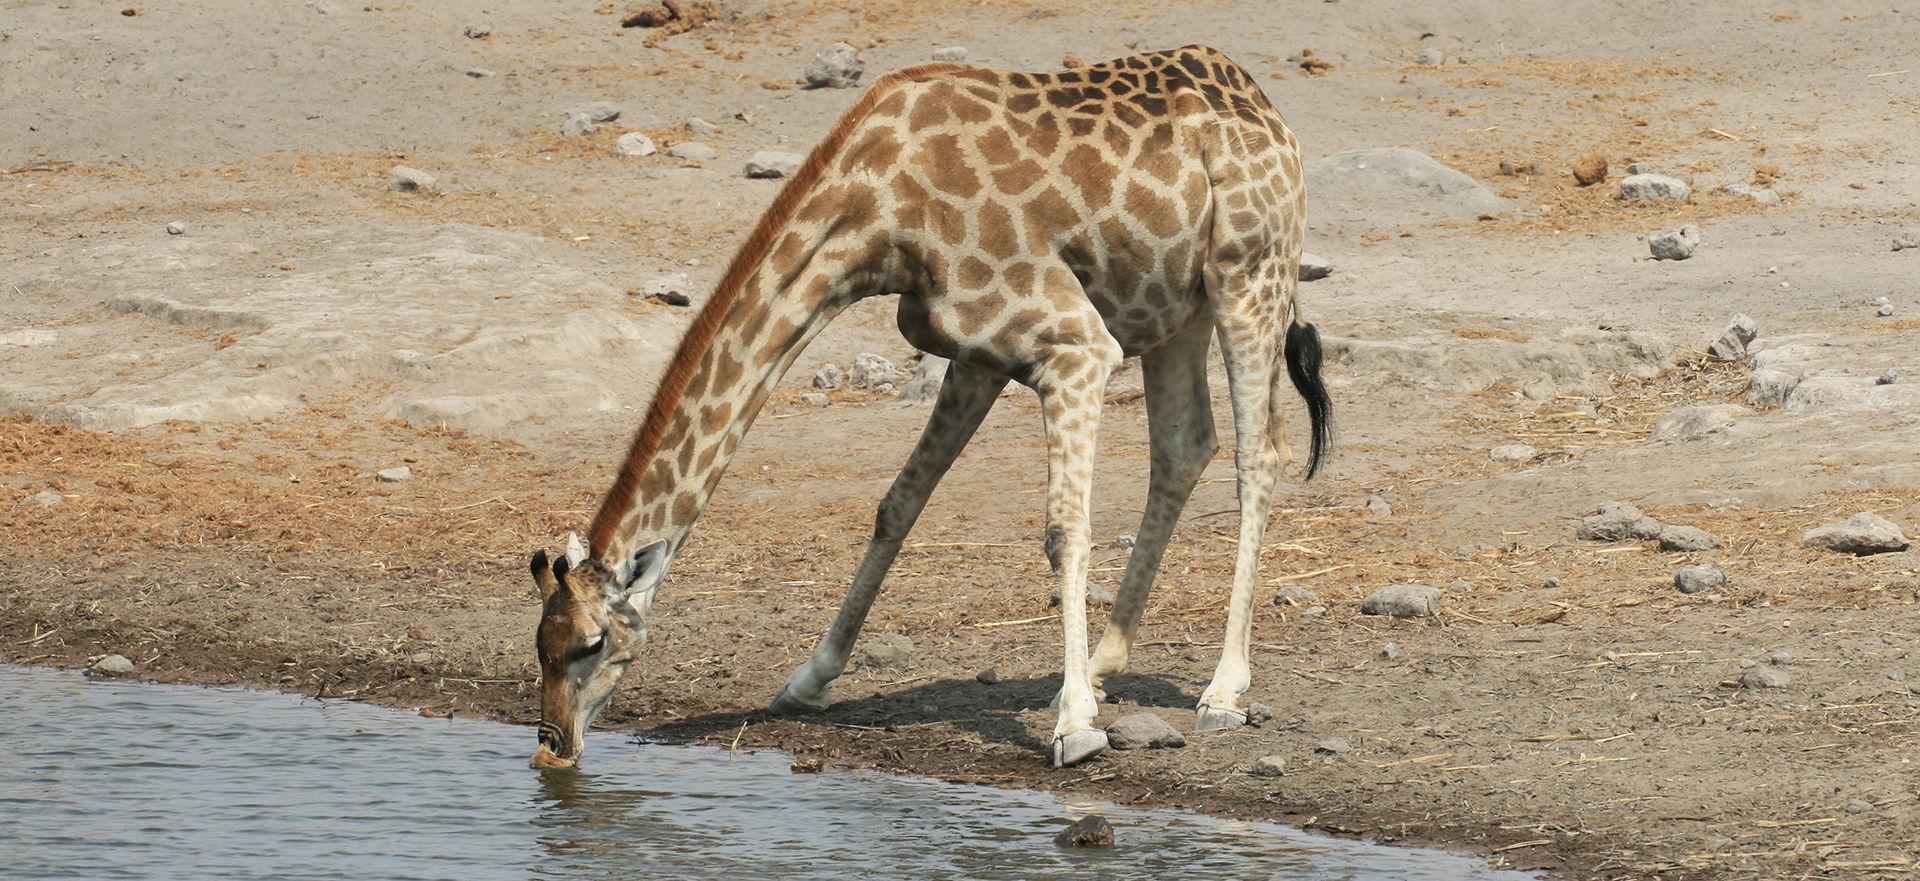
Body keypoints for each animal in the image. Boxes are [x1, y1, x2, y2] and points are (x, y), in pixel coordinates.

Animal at [533, 44, 1328, 767]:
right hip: (1171, 307)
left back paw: (1222, 690)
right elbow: (900, 503)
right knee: (1185, 445)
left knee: (1260, 453)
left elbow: (1065, 530)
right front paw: (809, 679)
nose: (551, 746)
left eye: (592, 644)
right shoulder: (978, 354)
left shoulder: (1074, 346)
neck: (876, 214)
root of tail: (1271, 113)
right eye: (538, 645)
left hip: (1248, 275)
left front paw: (1075, 728)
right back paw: (1105, 664)